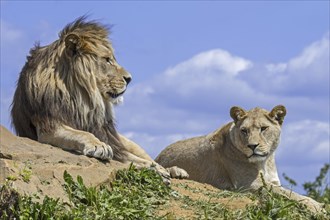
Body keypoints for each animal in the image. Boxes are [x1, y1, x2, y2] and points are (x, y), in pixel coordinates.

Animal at [10, 16, 186, 179]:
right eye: (107, 60)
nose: (129, 78)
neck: (82, 97)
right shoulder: (49, 127)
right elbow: (82, 134)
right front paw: (98, 146)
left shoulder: (110, 137)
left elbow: (136, 159)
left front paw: (158, 169)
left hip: (129, 142)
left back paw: (175, 170)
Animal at [156, 105, 324, 212]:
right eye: (244, 130)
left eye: (263, 128)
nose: (252, 146)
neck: (265, 162)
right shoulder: (248, 184)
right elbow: (289, 193)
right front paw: (316, 205)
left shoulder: (273, 182)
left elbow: (286, 191)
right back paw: (177, 172)